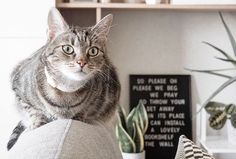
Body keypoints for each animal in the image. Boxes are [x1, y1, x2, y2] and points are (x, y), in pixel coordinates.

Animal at [6, 8, 121, 150]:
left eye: (93, 51)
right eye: (67, 49)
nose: (82, 62)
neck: (66, 90)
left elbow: (86, 110)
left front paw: (80, 116)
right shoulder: (17, 87)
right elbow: (32, 110)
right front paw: (36, 123)